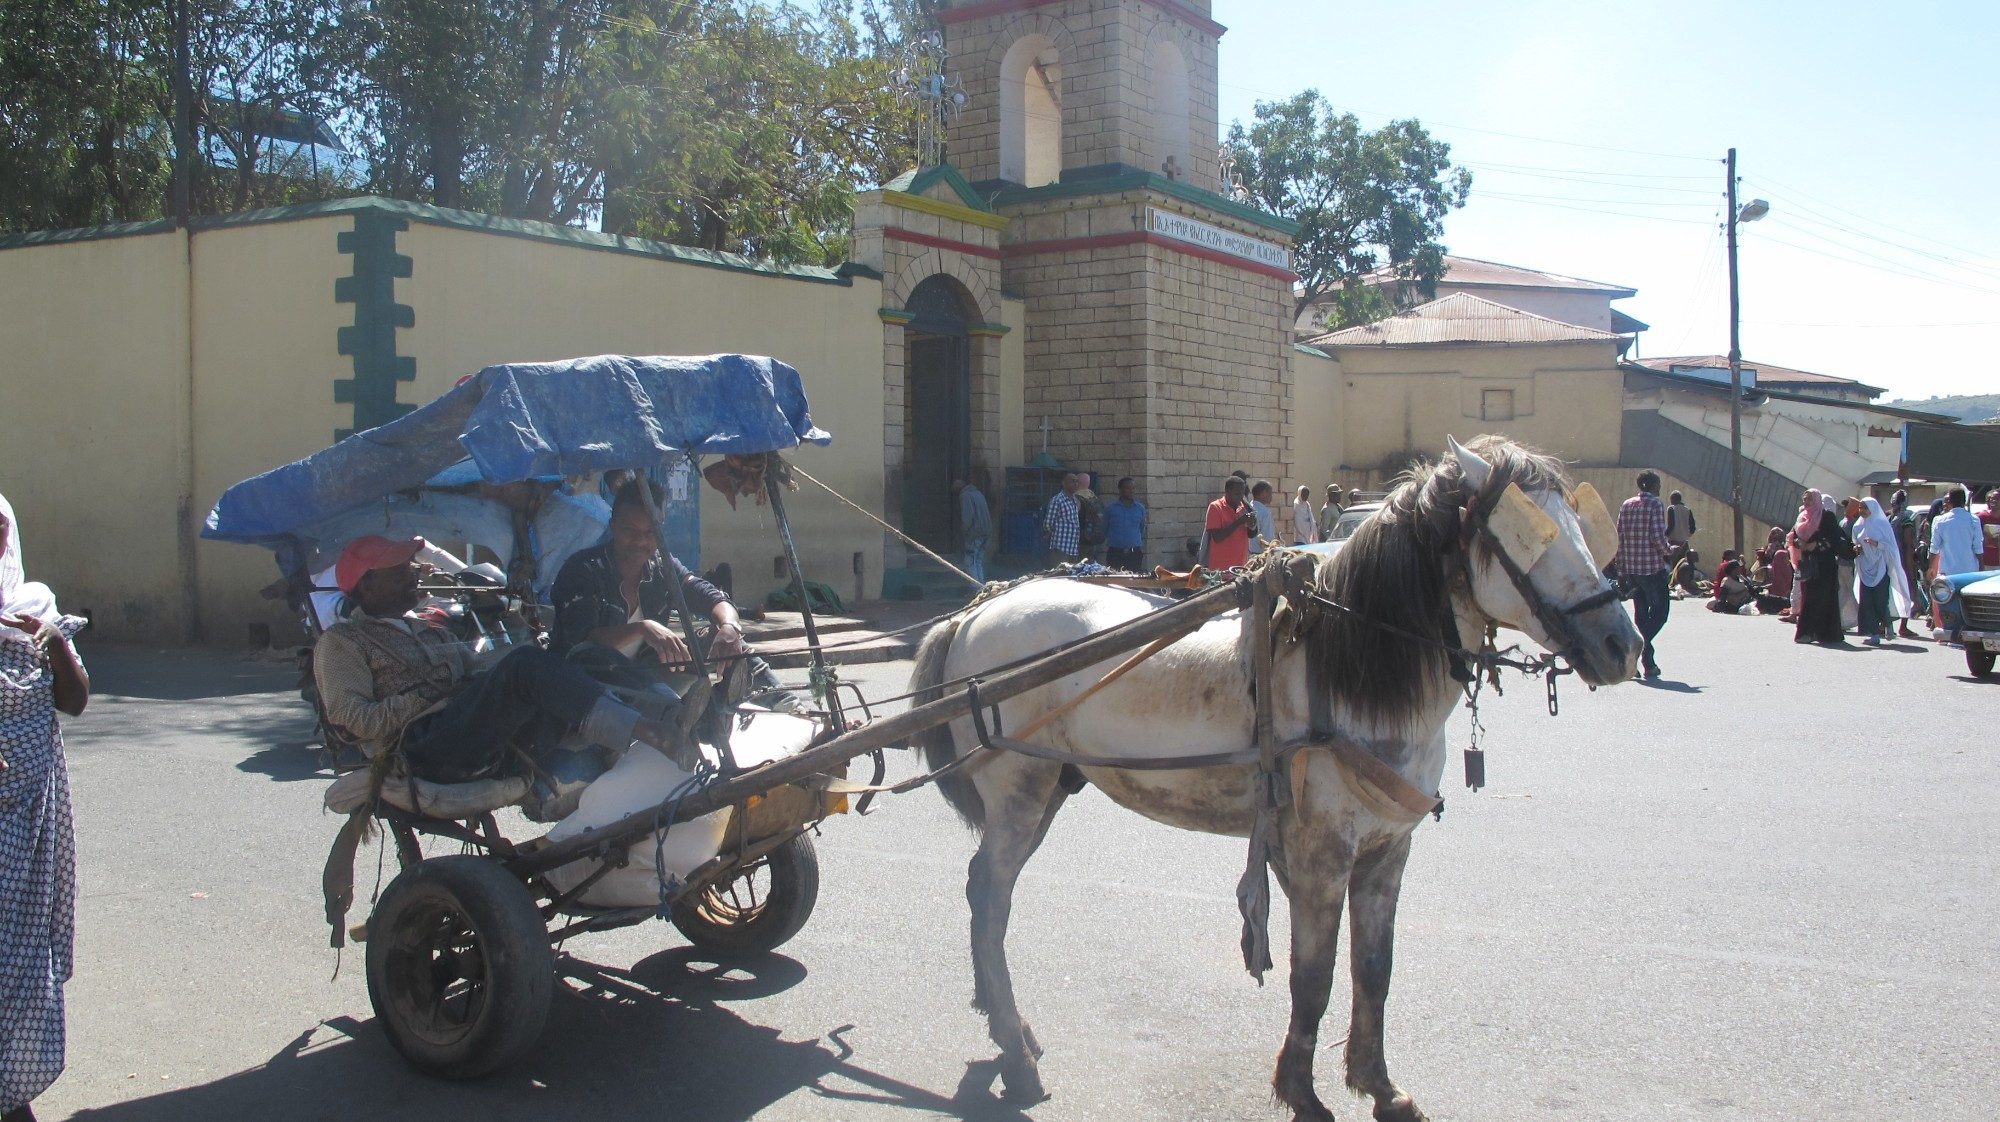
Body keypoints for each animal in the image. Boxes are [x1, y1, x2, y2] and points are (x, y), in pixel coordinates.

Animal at [908, 438, 1640, 1120]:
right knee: (990, 897)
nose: (1623, 646)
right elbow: (1312, 975)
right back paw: (1015, 1050)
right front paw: (1302, 1092)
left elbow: (1375, 969)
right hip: (1019, 790)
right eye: (1528, 532)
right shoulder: (1322, 853)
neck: (1352, 672)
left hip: (1049, 789)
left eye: (1581, 525)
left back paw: (1011, 1028)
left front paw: (1379, 1085)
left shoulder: (1388, 850)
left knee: (986, 893)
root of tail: (975, 612)